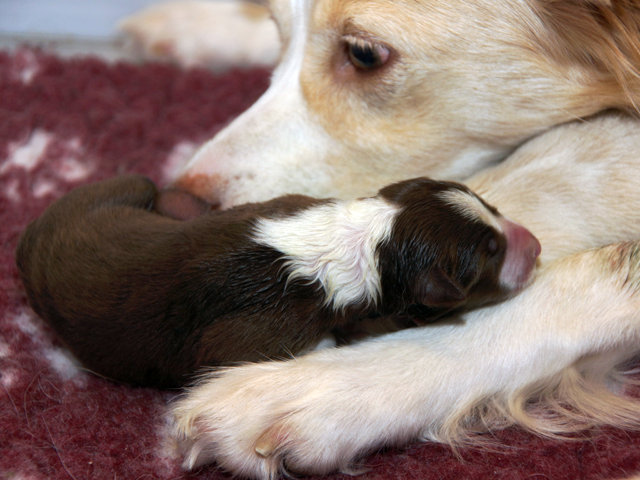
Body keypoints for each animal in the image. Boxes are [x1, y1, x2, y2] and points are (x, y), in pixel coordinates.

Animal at [16, 174, 538, 388]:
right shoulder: (253, 334)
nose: (534, 246)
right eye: (489, 255)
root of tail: (27, 242)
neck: (369, 241)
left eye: (489, 206)